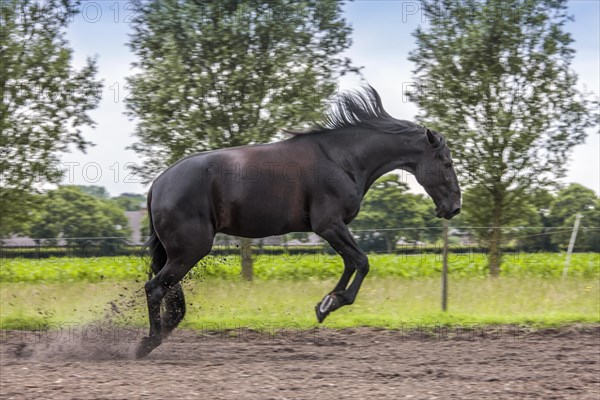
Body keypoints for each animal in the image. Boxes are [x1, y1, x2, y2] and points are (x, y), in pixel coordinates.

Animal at [137, 86, 464, 356]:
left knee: (170, 295)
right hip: (191, 249)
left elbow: (351, 263)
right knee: (155, 288)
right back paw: (147, 343)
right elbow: (361, 262)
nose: (454, 207)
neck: (343, 159)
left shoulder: (333, 228)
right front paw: (331, 304)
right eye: (447, 163)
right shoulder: (328, 224)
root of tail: (158, 185)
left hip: (179, 252)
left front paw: (326, 303)